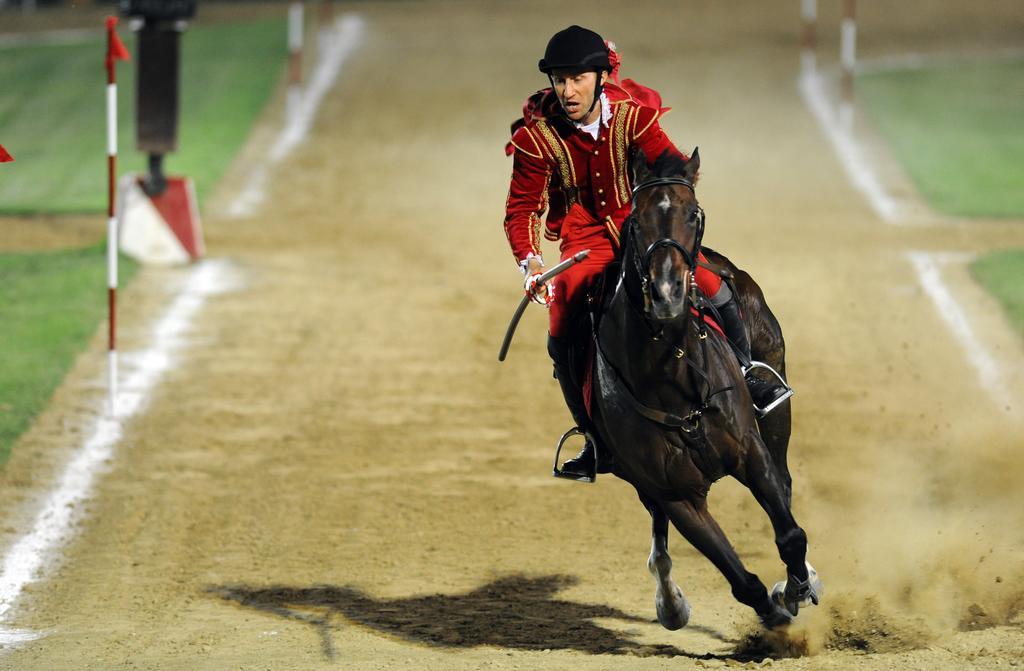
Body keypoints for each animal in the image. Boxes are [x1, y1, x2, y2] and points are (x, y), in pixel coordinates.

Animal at [589, 147, 819, 631]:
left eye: (692, 214)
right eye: (635, 219)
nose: (667, 291)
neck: (672, 375)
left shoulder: (750, 450)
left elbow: (789, 533)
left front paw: (793, 589)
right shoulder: (675, 495)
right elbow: (739, 577)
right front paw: (772, 612)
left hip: (777, 407)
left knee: (786, 482)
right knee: (658, 533)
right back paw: (670, 602)